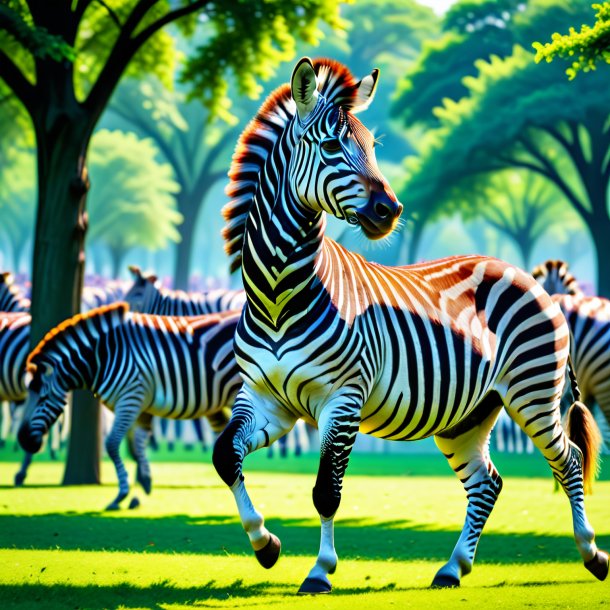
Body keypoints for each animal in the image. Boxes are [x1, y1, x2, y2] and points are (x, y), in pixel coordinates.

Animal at [17, 300, 240, 508]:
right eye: (28, 394)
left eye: (43, 399)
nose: (23, 441)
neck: (103, 356)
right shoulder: (140, 404)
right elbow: (137, 446)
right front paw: (143, 486)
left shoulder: (130, 398)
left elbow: (112, 444)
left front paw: (122, 494)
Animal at [208, 58, 604, 592]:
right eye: (330, 146)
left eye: (373, 148)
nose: (390, 210)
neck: (276, 296)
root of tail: (528, 276)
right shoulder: (268, 400)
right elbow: (225, 456)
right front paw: (265, 544)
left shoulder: (342, 400)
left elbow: (326, 490)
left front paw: (320, 571)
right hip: (469, 414)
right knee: (488, 482)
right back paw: (453, 568)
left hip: (533, 395)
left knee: (570, 462)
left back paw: (591, 553)